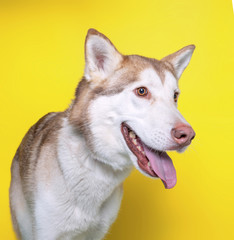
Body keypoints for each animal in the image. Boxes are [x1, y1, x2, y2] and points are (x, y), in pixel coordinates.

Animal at [9, 29, 196, 239]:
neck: (94, 166)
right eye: (141, 91)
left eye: (175, 96)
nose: (187, 135)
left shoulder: (97, 232)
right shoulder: (47, 232)